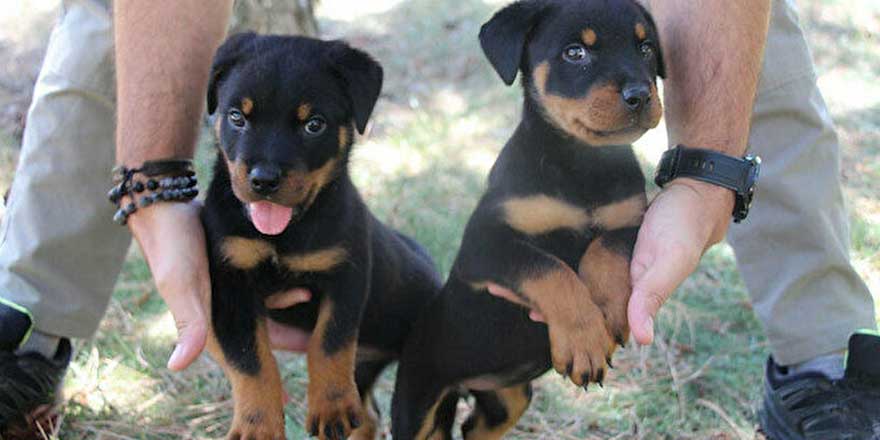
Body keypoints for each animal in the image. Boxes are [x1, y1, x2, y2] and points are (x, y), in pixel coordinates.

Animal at [202, 33, 444, 440]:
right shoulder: (229, 284)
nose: (264, 180)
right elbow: (250, 361)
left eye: (314, 125)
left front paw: (330, 407)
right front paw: (257, 424)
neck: (284, 233)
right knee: (368, 416)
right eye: (237, 117)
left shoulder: (346, 271)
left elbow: (329, 342)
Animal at [388, 1, 664, 438]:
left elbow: (606, 246)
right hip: (417, 397)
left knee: (475, 426)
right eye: (575, 53)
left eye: (646, 47)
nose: (640, 94)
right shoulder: (482, 247)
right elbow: (549, 269)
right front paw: (585, 341)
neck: (580, 164)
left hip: (508, 400)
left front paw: (608, 308)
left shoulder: (633, 219)